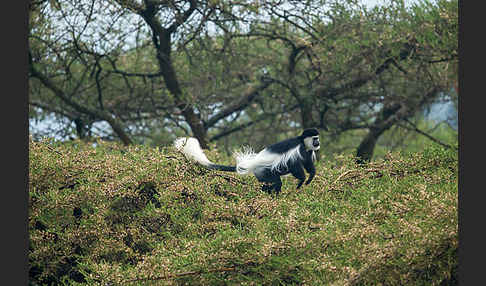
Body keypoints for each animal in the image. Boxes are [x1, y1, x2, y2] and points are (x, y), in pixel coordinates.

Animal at [173, 129, 320, 194]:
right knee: (275, 182)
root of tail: (252, 163)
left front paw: (310, 177)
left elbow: (308, 164)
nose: (318, 143)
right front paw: (301, 181)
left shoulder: (307, 152)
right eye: (315, 138)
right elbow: (295, 166)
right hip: (263, 172)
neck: (302, 142)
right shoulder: (297, 151)